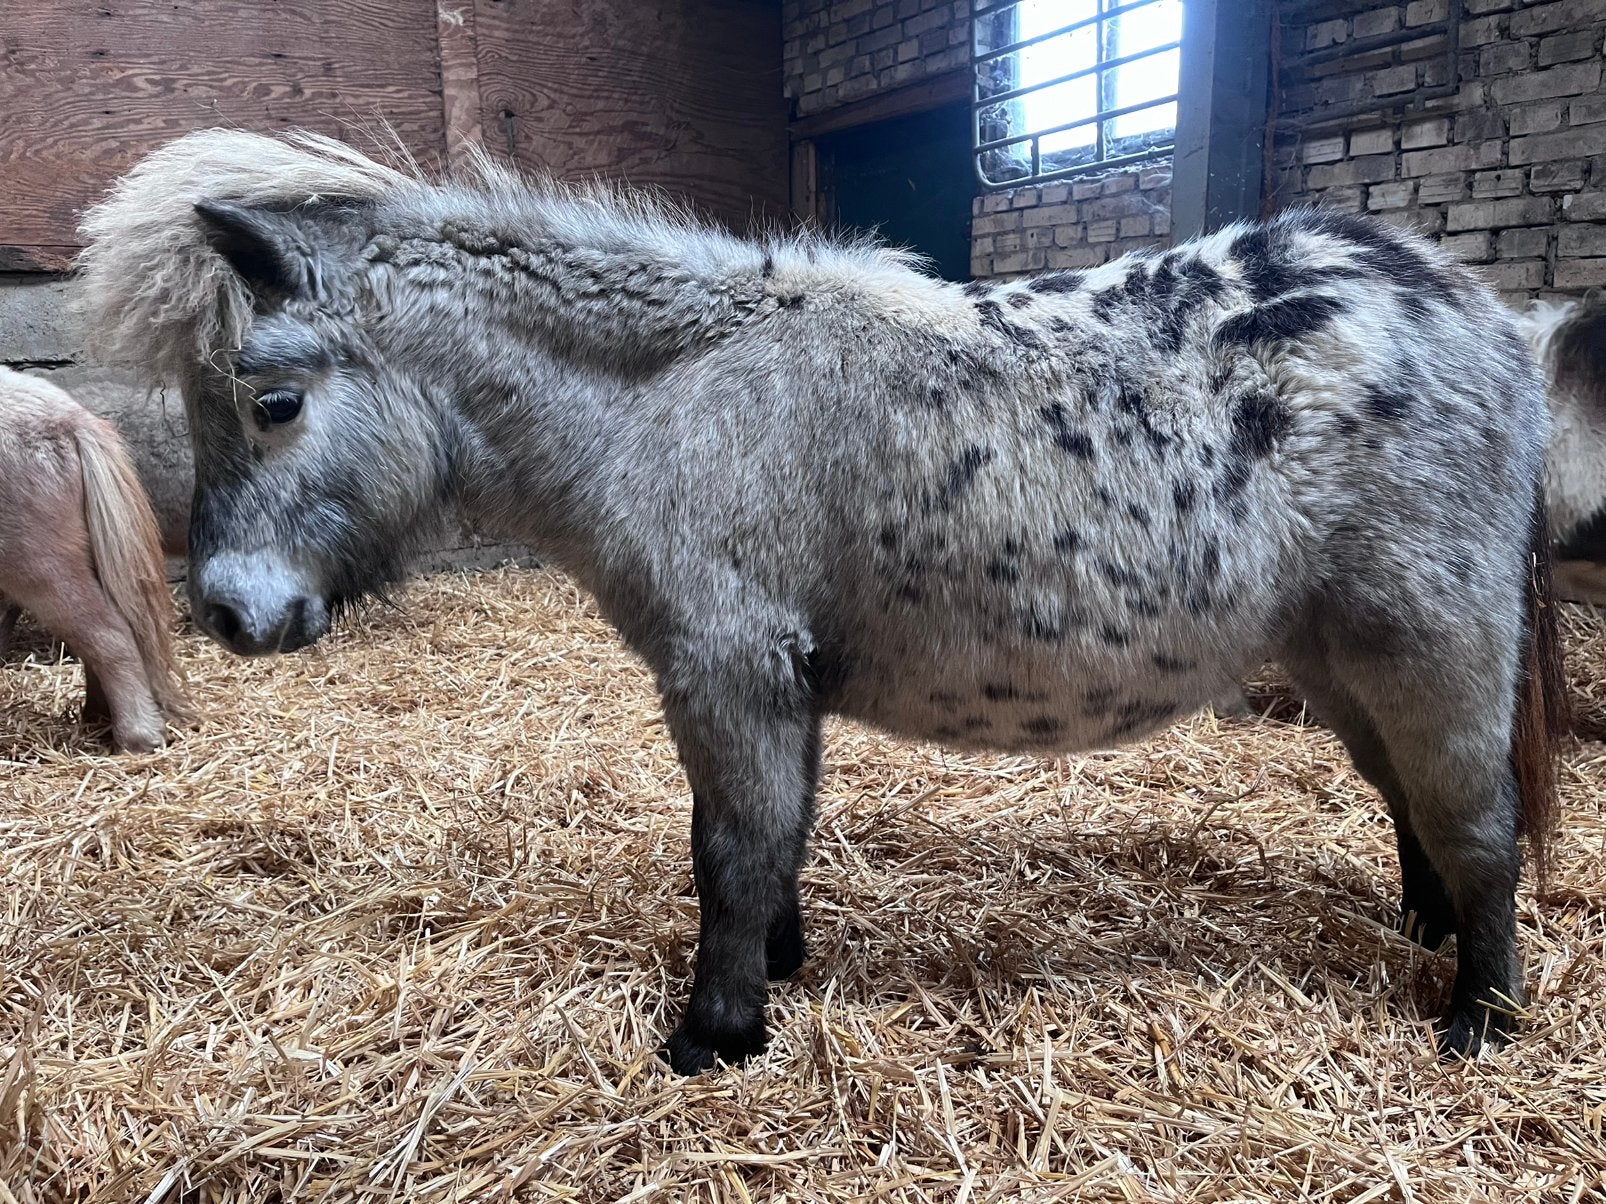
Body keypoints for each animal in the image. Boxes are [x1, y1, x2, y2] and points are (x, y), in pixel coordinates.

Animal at [78, 129, 1565, 1072]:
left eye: (272, 402)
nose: (229, 613)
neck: (684, 394)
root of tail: (1483, 317)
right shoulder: (760, 680)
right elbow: (761, 842)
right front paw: (773, 974)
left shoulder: (727, 667)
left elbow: (733, 850)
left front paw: (713, 1035)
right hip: (1337, 659)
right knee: (1415, 808)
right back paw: (1427, 938)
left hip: (1429, 645)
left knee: (1479, 823)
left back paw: (1480, 1019)